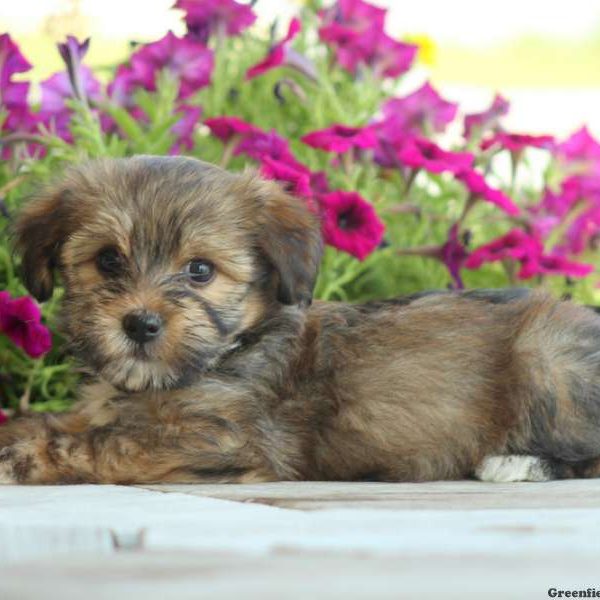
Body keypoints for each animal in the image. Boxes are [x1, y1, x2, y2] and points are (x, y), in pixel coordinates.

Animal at [3, 152, 600, 486]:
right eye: (108, 260)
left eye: (200, 270)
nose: (140, 324)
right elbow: (76, 423)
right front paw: (23, 429)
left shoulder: (223, 439)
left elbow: (105, 444)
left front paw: (23, 456)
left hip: (549, 357)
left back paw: (517, 463)